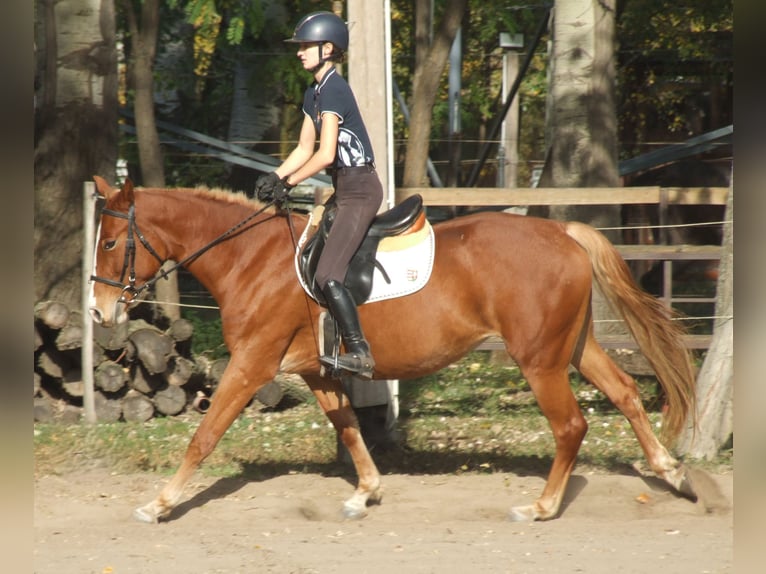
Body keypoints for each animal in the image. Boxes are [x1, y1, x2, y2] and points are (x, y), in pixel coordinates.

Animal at [87, 178, 700, 524]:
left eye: (112, 241)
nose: (98, 312)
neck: (251, 258)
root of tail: (565, 233)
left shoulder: (252, 366)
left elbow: (204, 436)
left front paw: (160, 503)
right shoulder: (317, 372)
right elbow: (350, 428)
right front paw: (366, 493)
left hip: (538, 359)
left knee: (571, 425)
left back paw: (543, 506)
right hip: (571, 347)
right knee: (625, 392)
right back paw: (672, 473)